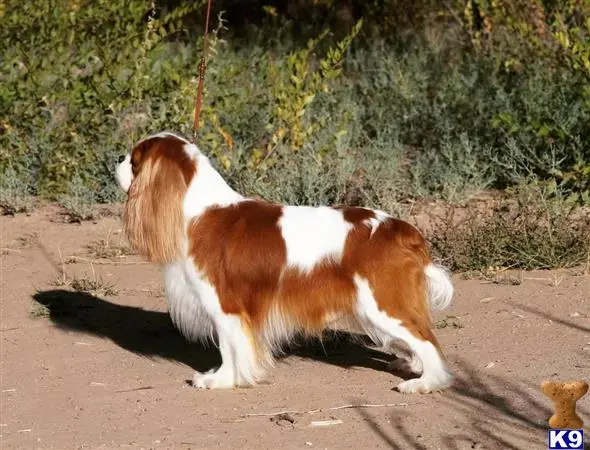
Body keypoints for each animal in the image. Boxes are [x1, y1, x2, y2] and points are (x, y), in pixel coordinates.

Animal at [117, 132, 458, 392]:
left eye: (134, 160)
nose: (117, 158)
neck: (199, 210)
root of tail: (402, 230)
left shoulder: (225, 306)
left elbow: (228, 347)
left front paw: (221, 380)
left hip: (382, 303)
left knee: (427, 340)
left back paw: (425, 382)